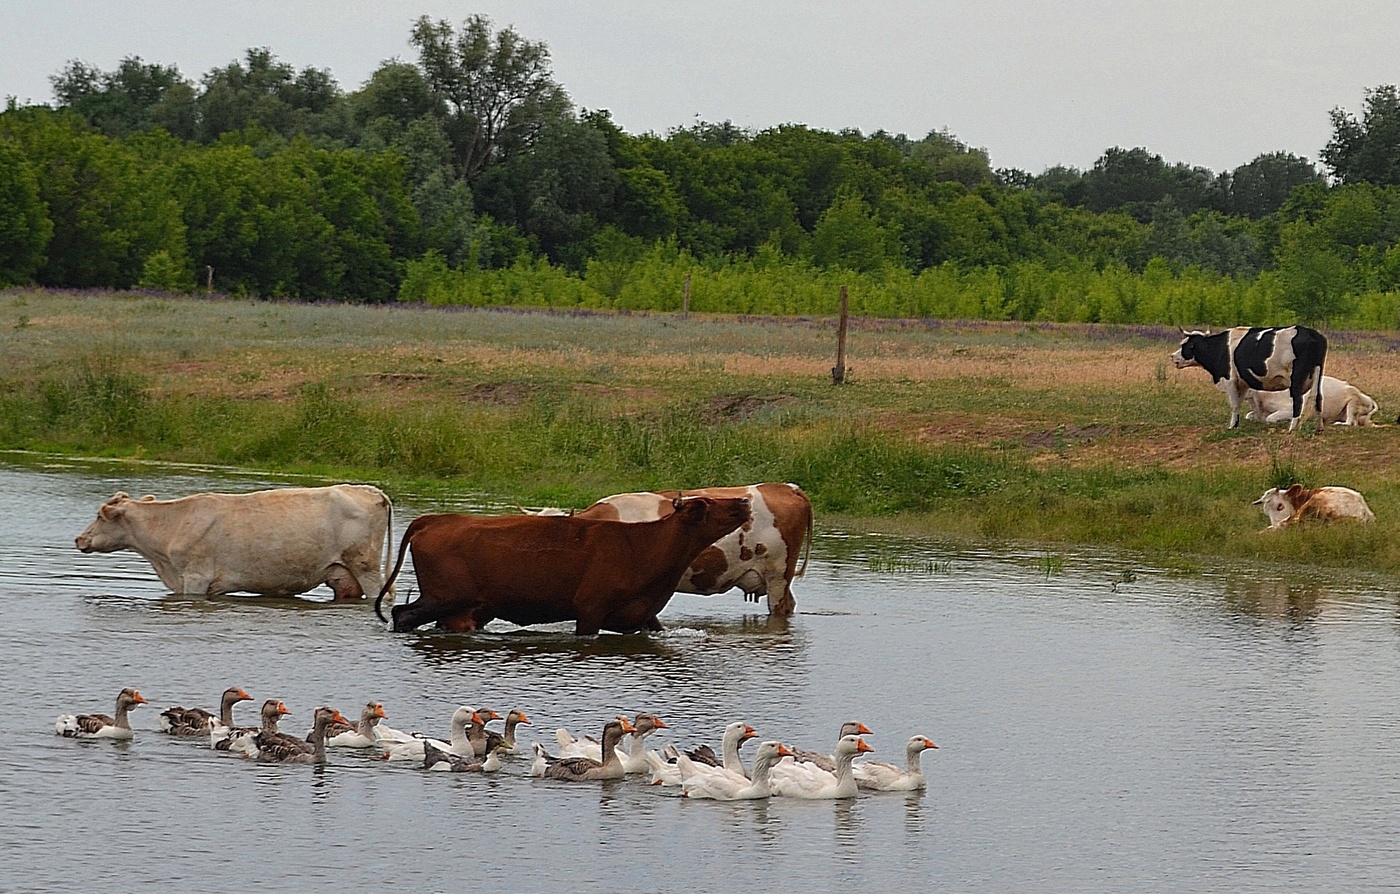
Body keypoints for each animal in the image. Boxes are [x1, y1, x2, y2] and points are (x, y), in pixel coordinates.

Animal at [75, 481, 394, 601]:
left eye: (100, 515)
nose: (79, 538)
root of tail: (370, 490)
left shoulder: (196, 576)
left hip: (366, 566)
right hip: (343, 574)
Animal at [369, 498, 744, 637]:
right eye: (712, 504)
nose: (741, 500)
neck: (640, 544)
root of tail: (434, 520)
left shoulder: (643, 615)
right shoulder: (590, 610)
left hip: (460, 609)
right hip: (442, 597)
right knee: (403, 613)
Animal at [1164, 327, 1327, 436]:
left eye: (1184, 345)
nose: (1172, 356)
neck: (1221, 348)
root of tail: (1312, 333)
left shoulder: (1229, 379)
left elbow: (1234, 404)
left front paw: (1231, 426)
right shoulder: (1242, 383)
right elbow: (1239, 403)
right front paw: (1235, 424)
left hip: (1296, 378)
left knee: (1298, 401)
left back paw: (1292, 428)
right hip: (1317, 373)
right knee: (1317, 398)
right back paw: (1319, 428)